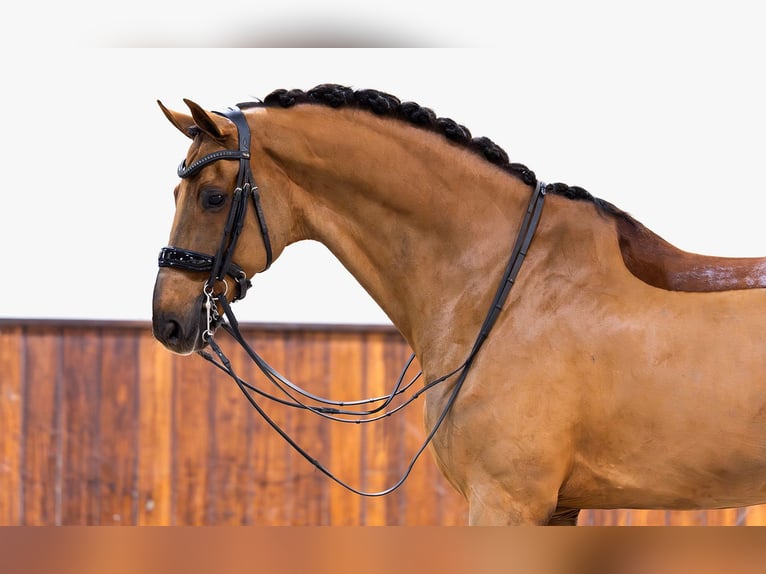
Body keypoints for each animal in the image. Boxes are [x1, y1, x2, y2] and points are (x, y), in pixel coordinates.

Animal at [152, 84, 766, 525]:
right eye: (176, 192)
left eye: (212, 196)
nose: (169, 321)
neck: (506, 290)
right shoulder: (554, 508)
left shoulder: (505, 503)